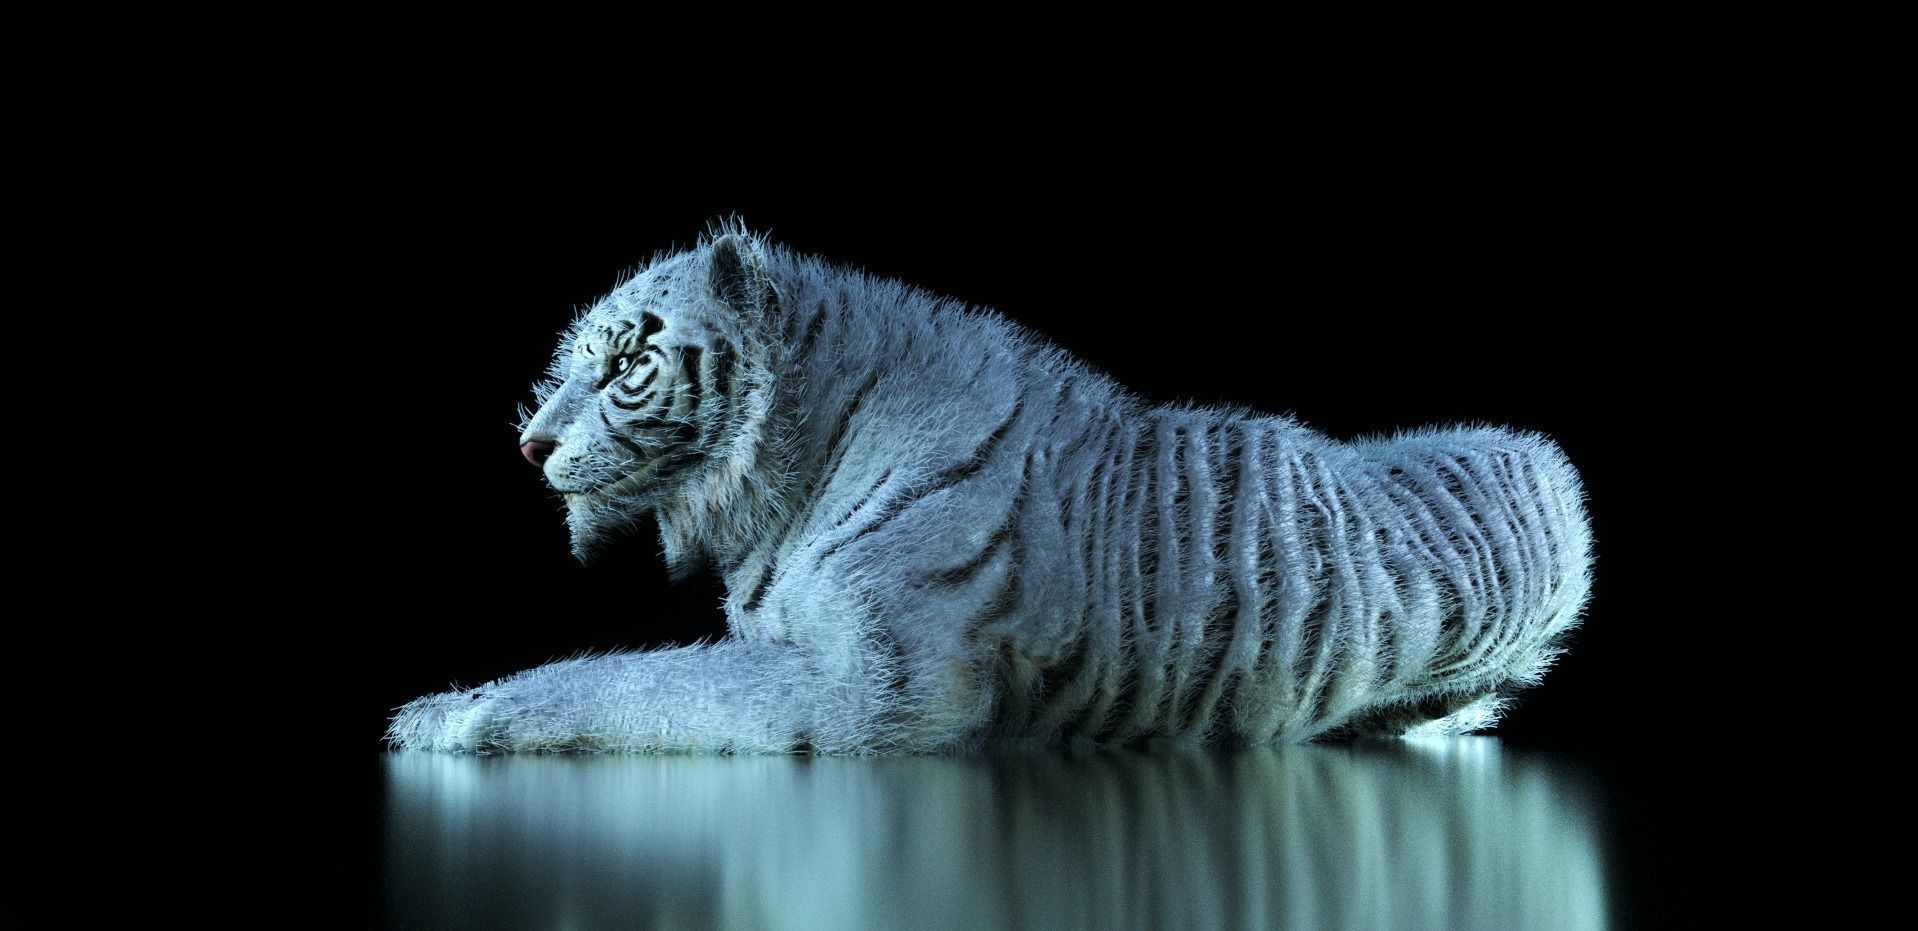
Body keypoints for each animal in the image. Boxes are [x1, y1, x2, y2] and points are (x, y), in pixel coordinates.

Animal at [386, 218, 1595, 754]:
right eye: (565, 363)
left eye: (627, 362)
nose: (531, 444)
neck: (789, 469)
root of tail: (1543, 457)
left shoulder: (872, 695)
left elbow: (630, 681)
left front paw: (451, 712)